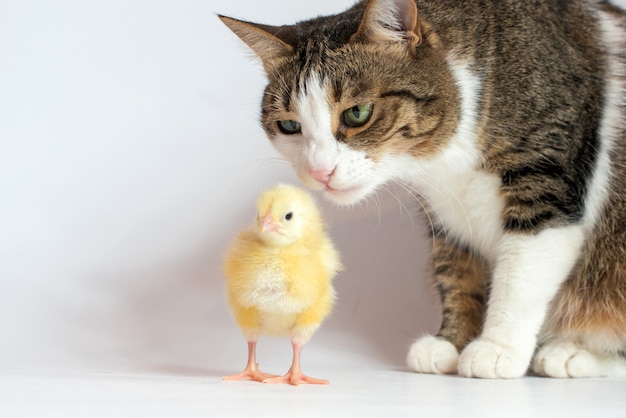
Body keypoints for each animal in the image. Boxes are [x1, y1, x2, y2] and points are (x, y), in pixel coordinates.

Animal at [217, 0, 620, 378]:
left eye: (357, 114)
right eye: (289, 126)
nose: (319, 172)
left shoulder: (545, 177)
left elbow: (521, 271)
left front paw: (497, 347)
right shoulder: (443, 208)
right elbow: (455, 270)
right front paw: (451, 341)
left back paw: (576, 353)